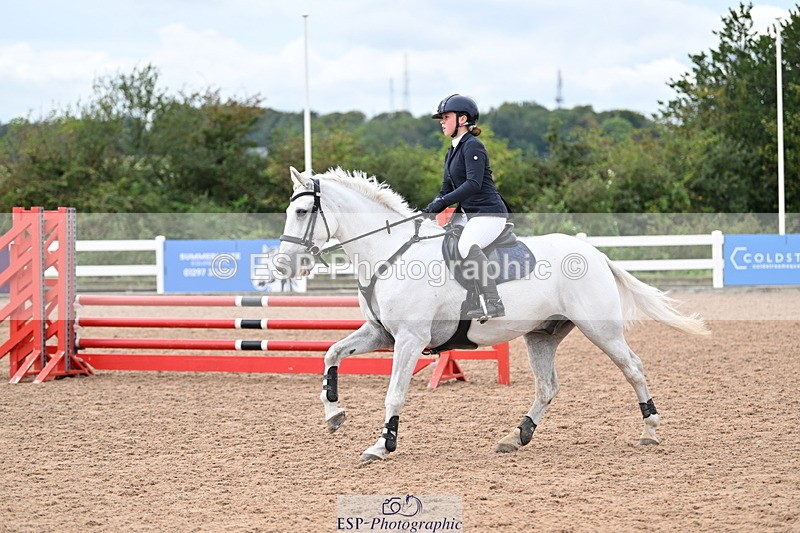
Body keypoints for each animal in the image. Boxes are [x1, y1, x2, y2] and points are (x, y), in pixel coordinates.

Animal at [275, 166, 710, 463]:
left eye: (303, 212)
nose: (282, 266)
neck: (390, 253)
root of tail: (596, 253)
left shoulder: (410, 340)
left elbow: (394, 393)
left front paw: (383, 444)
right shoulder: (380, 334)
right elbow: (331, 353)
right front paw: (334, 414)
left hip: (600, 329)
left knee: (632, 367)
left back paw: (650, 430)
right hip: (542, 334)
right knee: (547, 387)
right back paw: (516, 436)